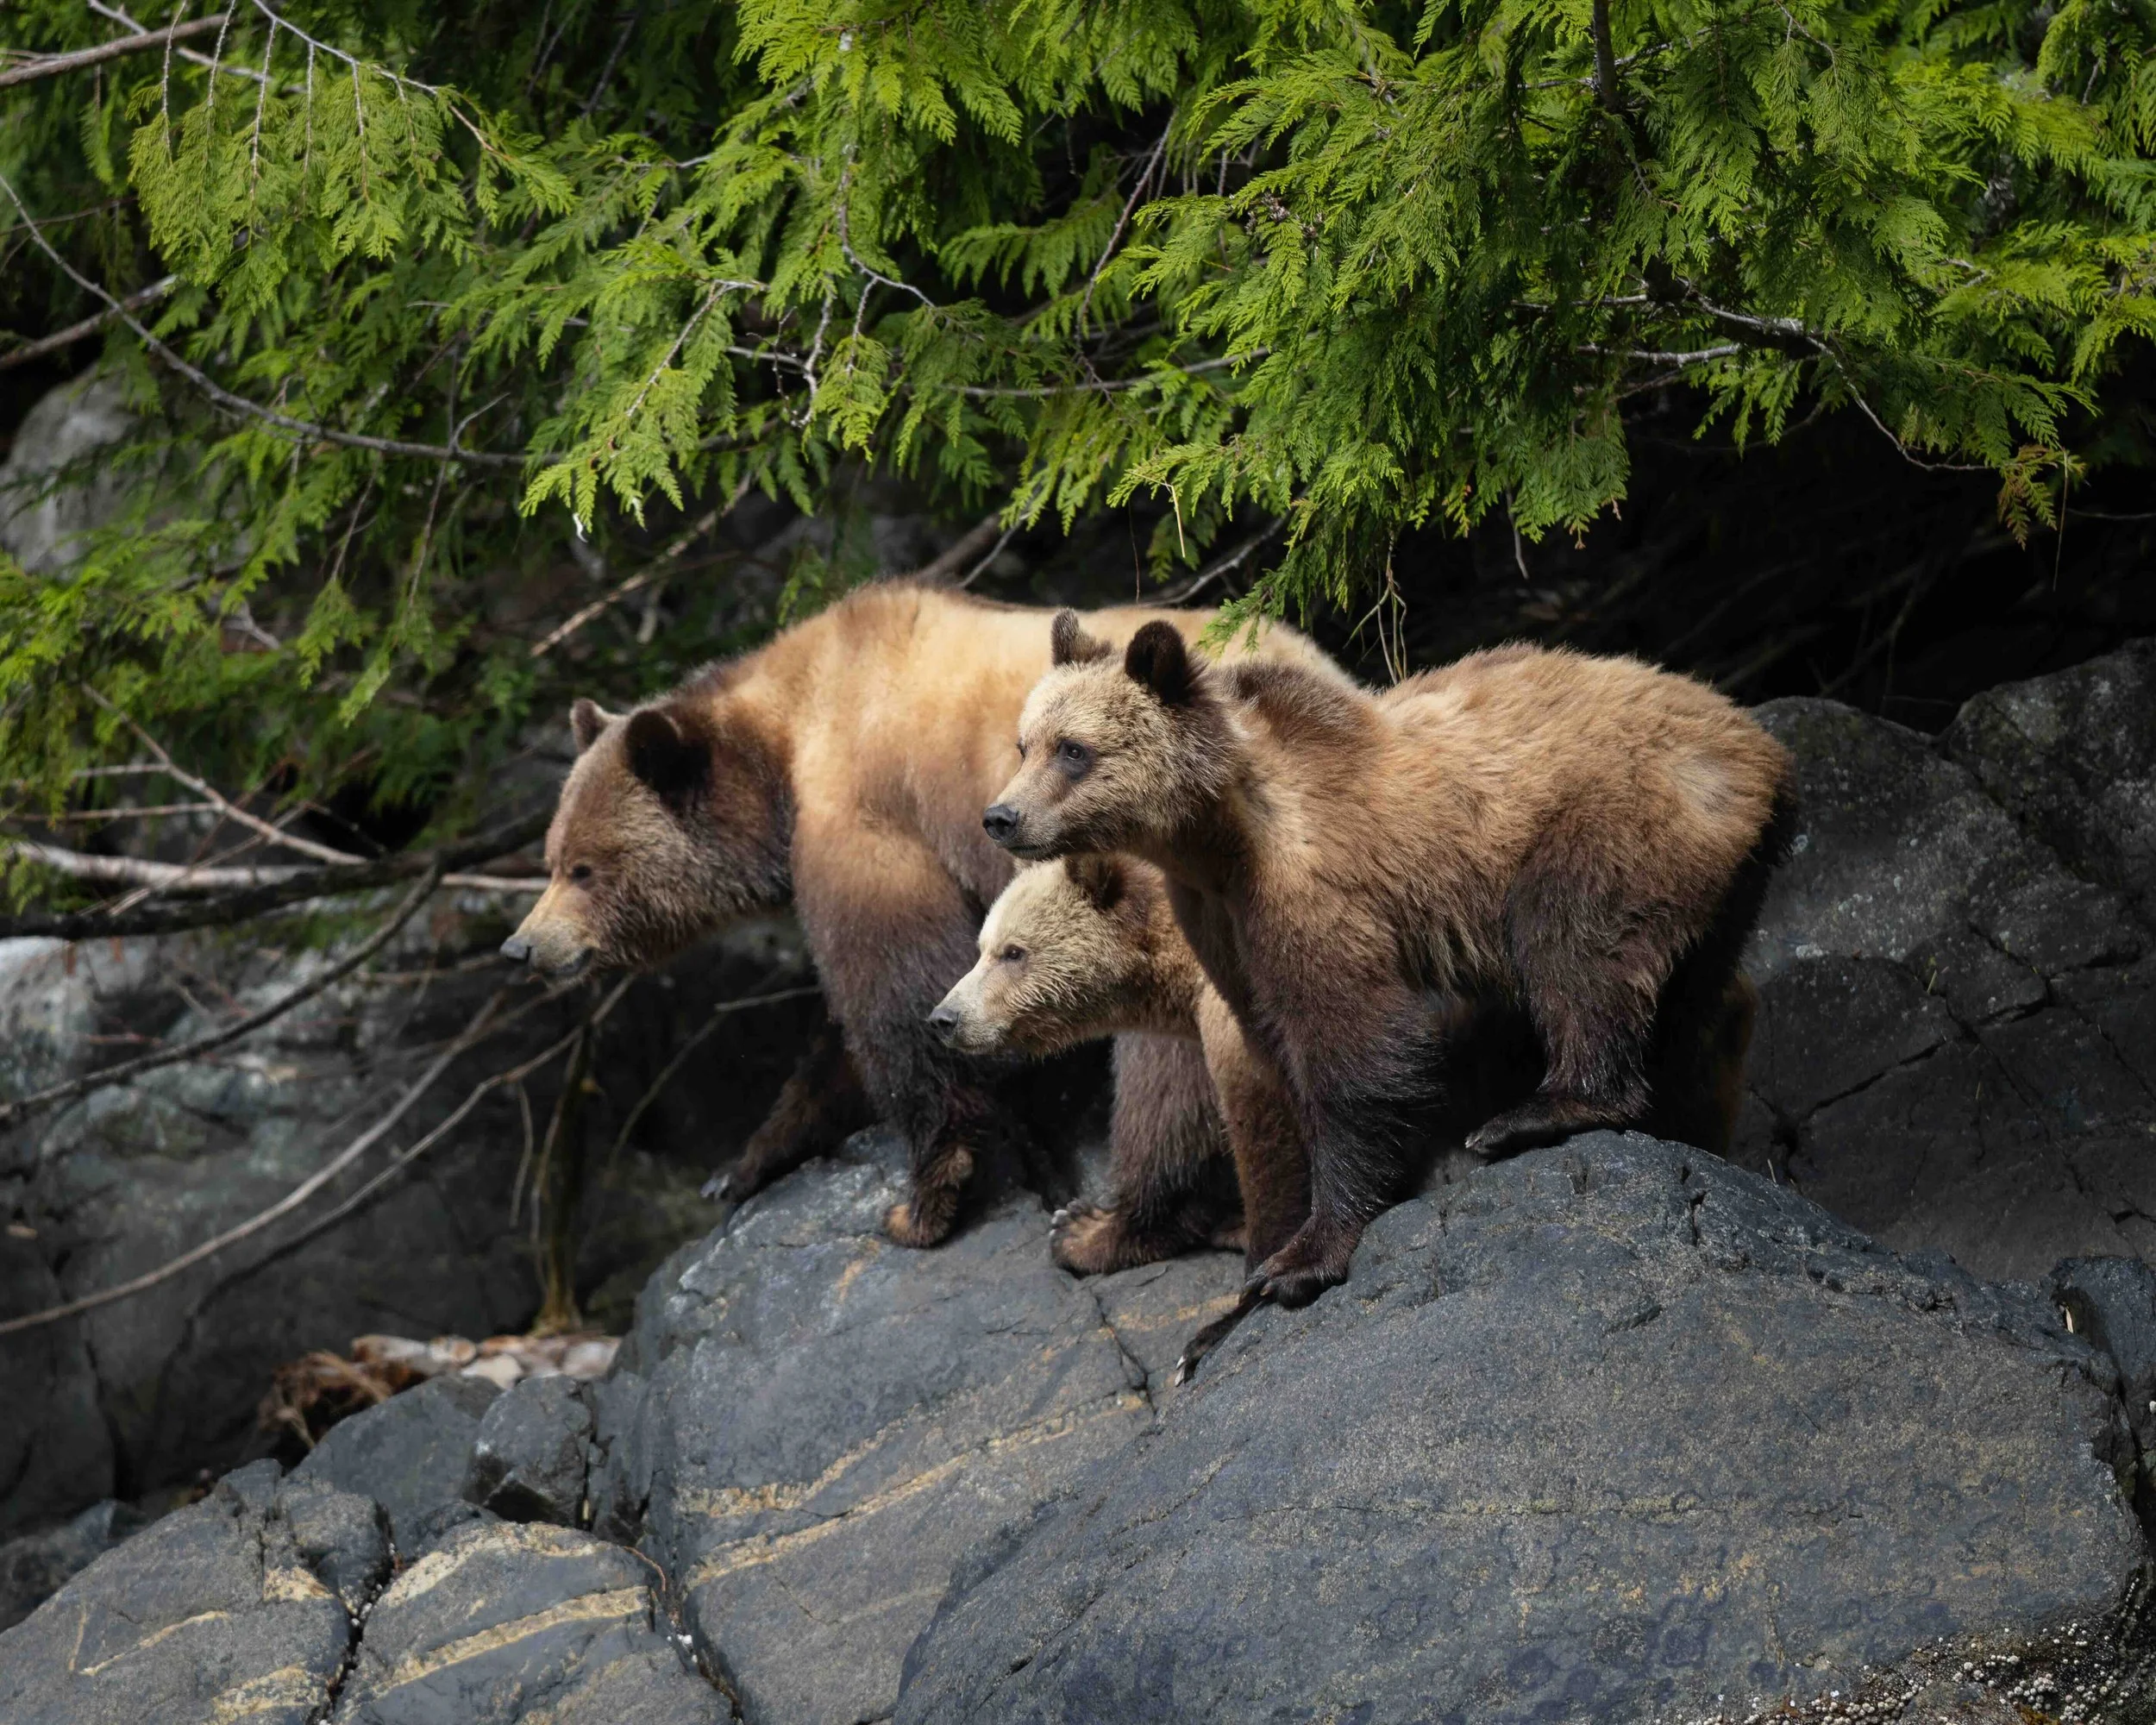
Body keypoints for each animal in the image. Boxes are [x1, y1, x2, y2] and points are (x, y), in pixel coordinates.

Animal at [500, 580, 1337, 1251]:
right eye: (551, 855)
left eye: (583, 868)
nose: (521, 947)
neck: (782, 749)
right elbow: (845, 1035)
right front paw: (742, 1164)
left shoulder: (869, 821)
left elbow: (895, 998)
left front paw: (924, 1200)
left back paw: (1127, 1222)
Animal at [983, 613, 1796, 1304]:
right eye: (1025, 742)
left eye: (1075, 749)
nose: (1001, 816)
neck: (1215, 837)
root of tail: (1757, 745)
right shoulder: (1225, 927)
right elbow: (1274, 1048)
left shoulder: (1311, 891)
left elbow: (1349, 1051)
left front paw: (1294, 1258)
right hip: (1726, 886)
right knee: (1689, 1000)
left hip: (1610, 819)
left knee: (1576, 946)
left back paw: (1538, 1110)